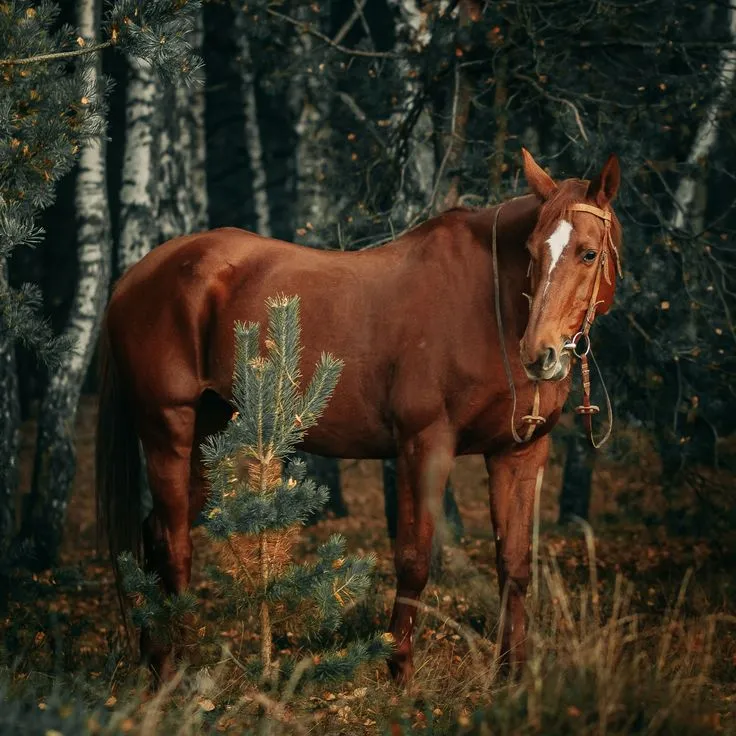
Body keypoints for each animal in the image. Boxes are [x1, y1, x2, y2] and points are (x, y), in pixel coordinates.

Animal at [96, 148, 620, 684]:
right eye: (533, 252)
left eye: (588, 253)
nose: (541, 353)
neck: (487, 304)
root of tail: (134, 277)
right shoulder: (424, 446)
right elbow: (414, 559)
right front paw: (399, 672)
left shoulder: (518, 454)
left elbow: (513, 565)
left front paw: (511, 676)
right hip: (168, 427)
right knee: (175, 544)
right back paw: (174, 671)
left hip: (211, 434)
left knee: (156, 532)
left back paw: (155, 659)